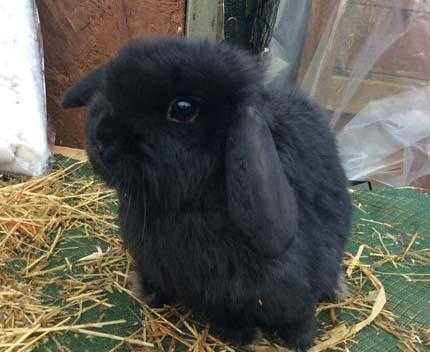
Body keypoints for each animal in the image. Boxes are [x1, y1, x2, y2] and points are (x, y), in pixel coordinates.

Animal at [63, 37, 352, 350]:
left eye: (183, 109)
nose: (101, 140)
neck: (182, 206)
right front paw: (149, 294)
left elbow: (297, 319)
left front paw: (292, 339)